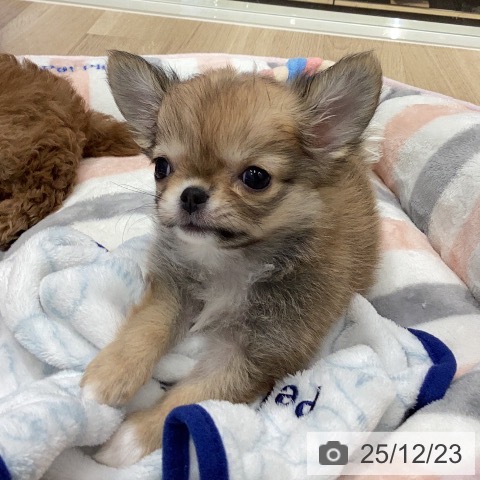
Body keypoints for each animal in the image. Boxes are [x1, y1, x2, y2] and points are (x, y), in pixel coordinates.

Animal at [81, 50, 382, 467]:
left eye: (256, 177)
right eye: (161, 167)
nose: (191, 193)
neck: (229, 262)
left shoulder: (252, 355)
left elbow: (186, 400)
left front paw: (126, 443)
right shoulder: (173, 292)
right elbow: (145, 329)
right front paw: (104, 378)